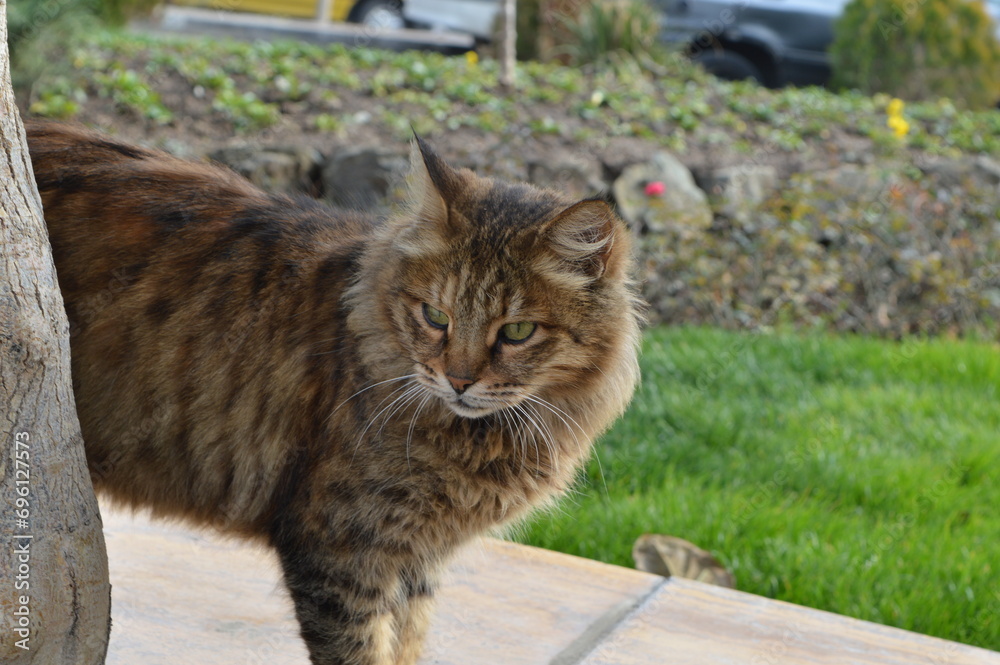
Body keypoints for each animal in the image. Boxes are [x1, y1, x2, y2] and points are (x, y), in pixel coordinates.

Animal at [27, 120, 644, 664]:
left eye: (516, 332)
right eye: (436, 316)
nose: (459, 380)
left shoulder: (416, 563)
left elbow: (407, 646)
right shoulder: (342, 552)